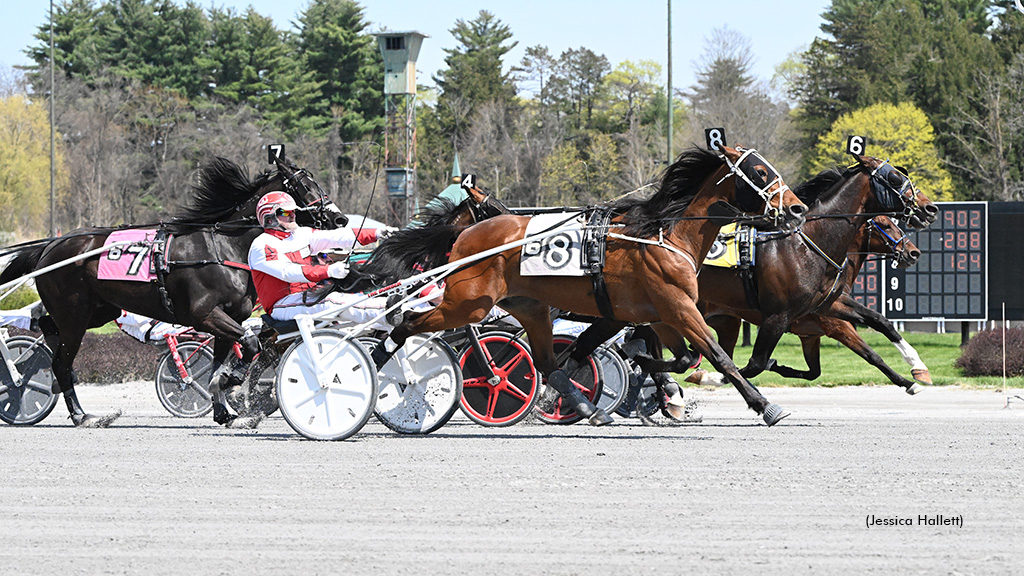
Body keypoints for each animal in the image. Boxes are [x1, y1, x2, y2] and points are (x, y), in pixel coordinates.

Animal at [0, 152, 346, 426]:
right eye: (304, 186)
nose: (340, 218)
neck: (222, 247)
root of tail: (49, 247)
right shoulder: (204, 315)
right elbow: (250, 342)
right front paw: (234, 380)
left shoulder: (228, 317)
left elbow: (222, 361)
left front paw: (224, 410)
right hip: (75, 314)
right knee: (61, 360)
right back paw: (81, 415)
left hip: (98, 311)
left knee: (48, 326)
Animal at [372, 146, 811, 426]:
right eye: (760, 173)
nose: (797, 208)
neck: (664, 235)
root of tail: (464, 236)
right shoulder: (678, 308)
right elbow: (719, 356)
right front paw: (764, 405)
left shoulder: (661, 313)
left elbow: (682, 357)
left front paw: (651, 376)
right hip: (469, 304)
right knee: (407, 322)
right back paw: (372, 364)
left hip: (529, 307)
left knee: (547, 364)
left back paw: (588, 408)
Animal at [696, 154, 937, 385]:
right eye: (895, 178)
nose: (930, 208)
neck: (807, 246)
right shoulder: (794, 320)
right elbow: (871, 355)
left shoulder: (824, 311)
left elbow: (879, 321)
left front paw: (917, 367)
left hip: (727, 322)